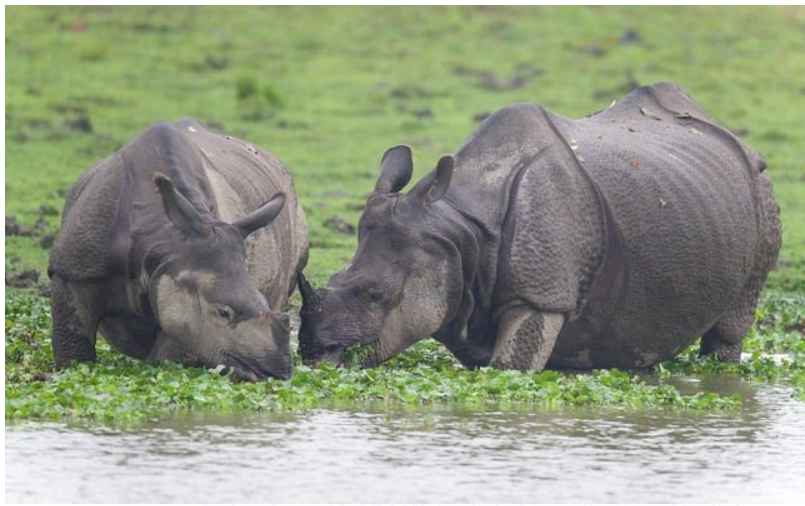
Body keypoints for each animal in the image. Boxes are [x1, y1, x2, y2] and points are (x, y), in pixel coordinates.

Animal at [49, 119, 308, 380]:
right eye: (223, 312)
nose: (278, 371)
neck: (162, 238)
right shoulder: (72, 270)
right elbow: (74, 347)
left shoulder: (182, 300)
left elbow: (168, 357)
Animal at [298, 82, 781, 372]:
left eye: (376, 295)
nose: (314, 355)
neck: (457, 231)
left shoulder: (542, 296)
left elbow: (508, 369)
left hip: (761, 190)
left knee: (736, 313)